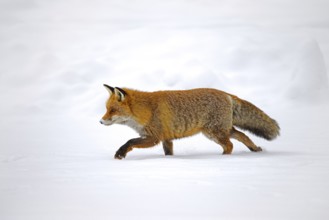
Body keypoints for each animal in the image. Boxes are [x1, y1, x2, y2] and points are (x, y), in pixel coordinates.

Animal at [98, 84, 278, 160]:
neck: (145, 110)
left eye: (112, 110)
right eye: (106, 109)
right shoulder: (166, 139)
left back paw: (223, 159)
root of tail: (226, 94)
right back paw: (255, 149)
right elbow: (168, 154)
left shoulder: (154, 137)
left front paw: (120, 153)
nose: (100, 121)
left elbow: (130, 141)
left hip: (214, 132)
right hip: (222, 130)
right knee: (242, 135)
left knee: (230, 145)